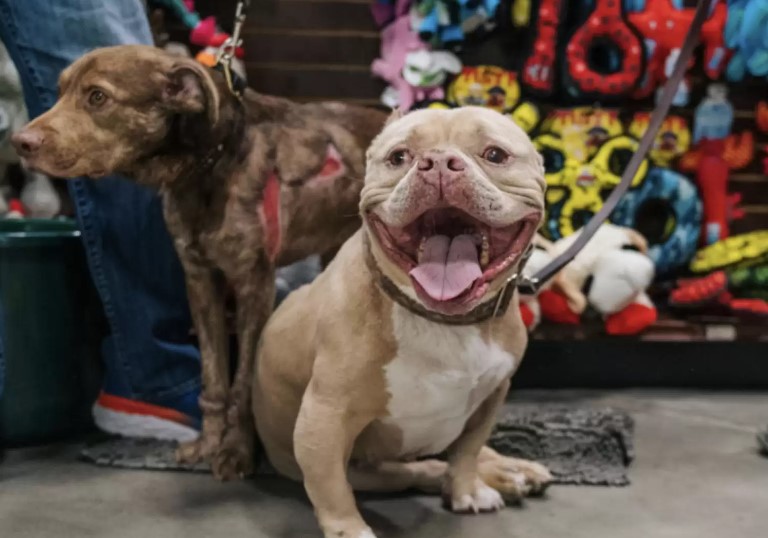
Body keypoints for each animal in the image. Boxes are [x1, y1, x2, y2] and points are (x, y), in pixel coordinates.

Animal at [11, 44, 384, 476]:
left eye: (97, 97)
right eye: (58, 91)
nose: (19, 142)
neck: (210, 162)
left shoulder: (253, 284)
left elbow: (243, 382)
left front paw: (237, 451)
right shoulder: (200, 281)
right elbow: (214, 378)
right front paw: (207, 445)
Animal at [254, 105, 552, 536]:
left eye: (495, 154)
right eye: (399, 157)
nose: (440, 162)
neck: (442, 320)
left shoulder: (491, 397)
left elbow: (468, 452)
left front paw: (467, 491)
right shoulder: (325, 415)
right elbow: (330, 485)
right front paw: (349, 530)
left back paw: (512, 470)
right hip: (374, 469)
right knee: (421, 470)